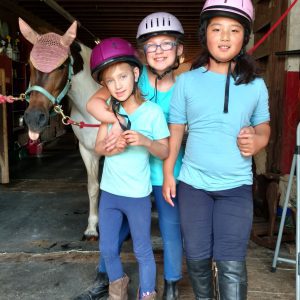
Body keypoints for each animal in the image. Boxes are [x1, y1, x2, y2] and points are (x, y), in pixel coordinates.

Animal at [19, 18, 101, 239]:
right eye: (30, 64)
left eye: (62, 66)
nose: (34, 118)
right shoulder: (87, 150)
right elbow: (94, 187)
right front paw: (92, 228)